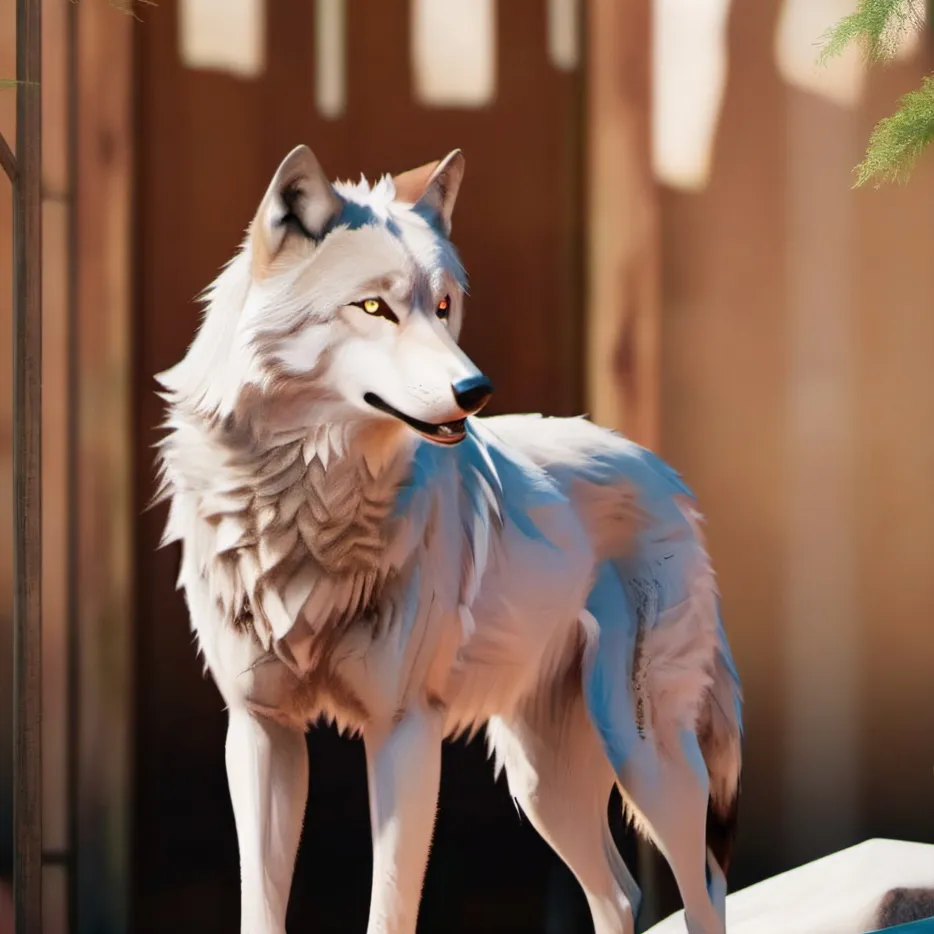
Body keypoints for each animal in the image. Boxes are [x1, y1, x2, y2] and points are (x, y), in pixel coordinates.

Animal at [155, 145, 743, 934]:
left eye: (443, 307)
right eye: (374, 307)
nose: (476, 391)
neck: (310, 505)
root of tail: (660, 469)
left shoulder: (404, 730)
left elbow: (390, 910)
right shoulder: (260, 730)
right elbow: (262, 908)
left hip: (645, 753)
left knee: (702, 890)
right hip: (542, 778)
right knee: (620, 894)